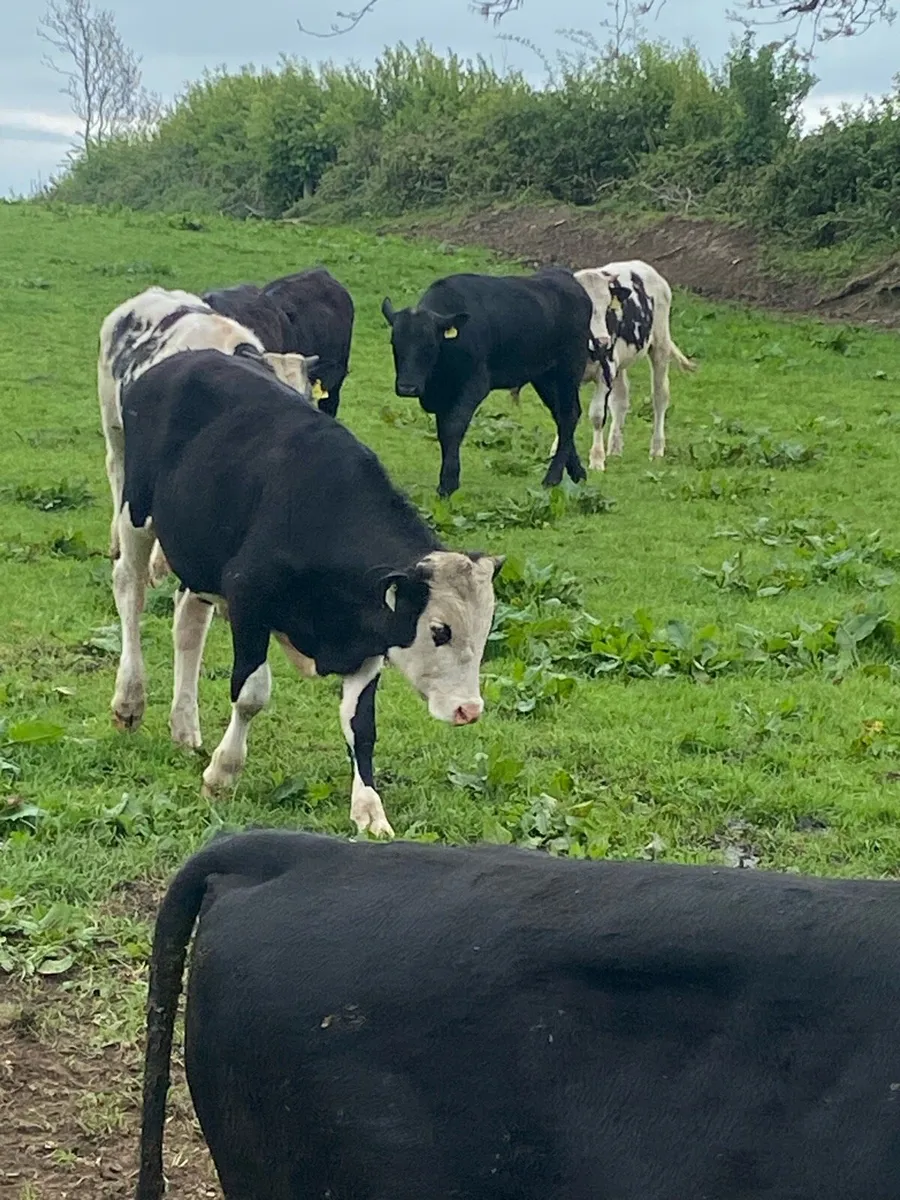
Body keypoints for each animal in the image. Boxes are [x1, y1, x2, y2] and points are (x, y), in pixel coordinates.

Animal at [113, 349, 503, 838]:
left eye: (485, 631)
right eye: (439, 630)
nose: (469, 709)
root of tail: (185, 358)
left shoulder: (368, 638)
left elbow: (361, 725)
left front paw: (369, 808)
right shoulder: (248, 599)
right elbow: (251, 693)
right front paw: (223, 773)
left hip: (198, 550)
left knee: (188, 622)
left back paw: (184, 728)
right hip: (136, 511)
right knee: (130, 592)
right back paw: (129, 700)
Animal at [381, 268, 592, 497]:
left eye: (430, 344)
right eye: (394, 342)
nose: (407, 387)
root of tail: (564, 276)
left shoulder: (475, 383)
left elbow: (452, 428)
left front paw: (448, 483)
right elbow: (443, 430)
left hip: (569, 369)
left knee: (569, 415)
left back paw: (552, 477)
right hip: (544, 376)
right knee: (561, 416)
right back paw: (577, 473)